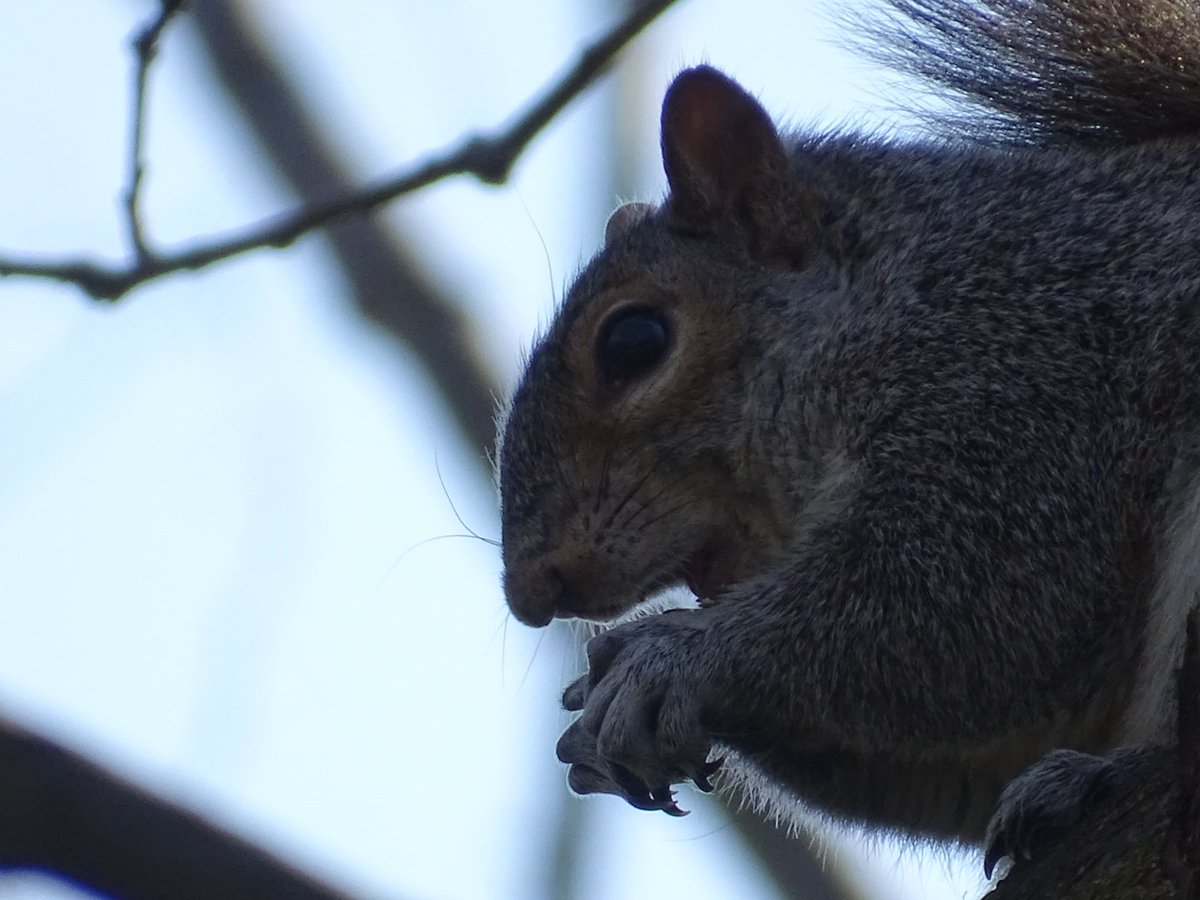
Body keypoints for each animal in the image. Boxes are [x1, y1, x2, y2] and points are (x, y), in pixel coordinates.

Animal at [497, 0, 1200, 878]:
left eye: (634, 342)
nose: (531, 591)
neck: (901, 294)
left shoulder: (1025, 388)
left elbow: (973, 606)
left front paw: (675, 654)